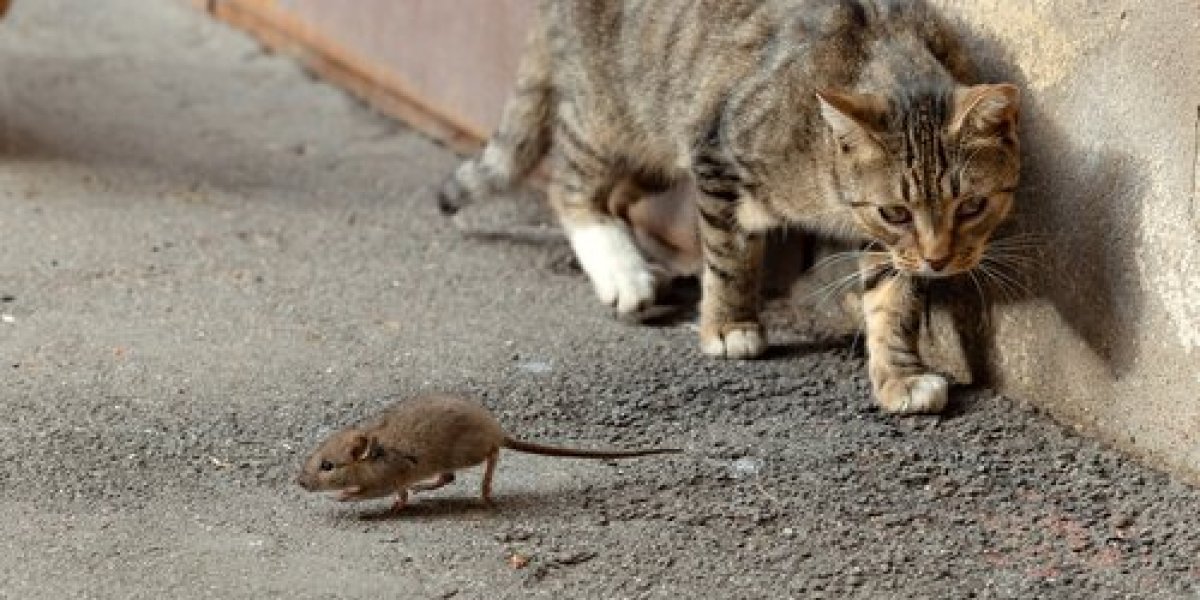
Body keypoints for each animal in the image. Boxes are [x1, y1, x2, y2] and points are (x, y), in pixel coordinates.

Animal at [441, 0, 1022, 412]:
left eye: (972, 206)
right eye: (896, 212)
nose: (939, 260)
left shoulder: (882, 240)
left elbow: (894, 300)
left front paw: (900, 374)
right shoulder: (717, 153)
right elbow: (729, 258)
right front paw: (727, 326)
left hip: (659, 140)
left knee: (619, 195)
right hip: (615, 115)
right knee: (570, 186)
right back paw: (620, 271)